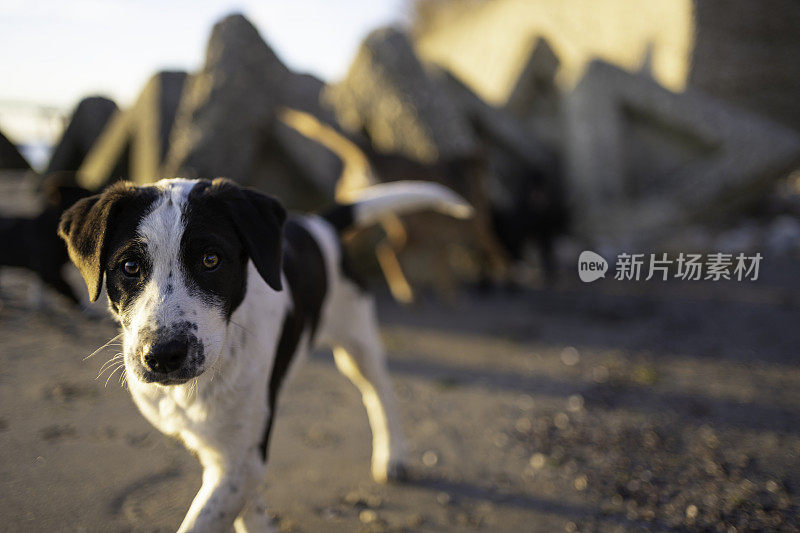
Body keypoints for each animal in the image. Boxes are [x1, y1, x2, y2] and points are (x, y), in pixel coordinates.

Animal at [59, 177, 472, 528]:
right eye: (129, 266)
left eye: (211, 260)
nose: (162, 356)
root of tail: (317, 224)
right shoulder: (232, 459)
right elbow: (244, 508)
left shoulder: (240, 461)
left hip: (357, 341)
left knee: (381, 394)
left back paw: (393, 455)